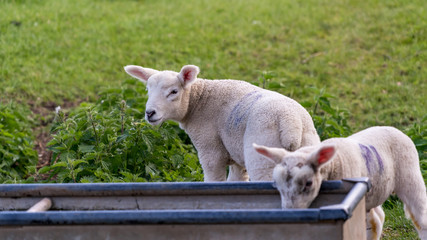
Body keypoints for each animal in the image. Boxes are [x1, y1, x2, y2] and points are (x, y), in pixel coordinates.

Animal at [123, 64, 320, 181]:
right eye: (148, 90)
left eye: (173, 92)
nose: (150, 113)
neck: (198, 101)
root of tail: (290, 123)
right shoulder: (236, 156)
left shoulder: (210, 150)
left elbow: (213, 179)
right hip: (309, 147)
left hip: (263, 155)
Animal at [254, 126, 427, 239]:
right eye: (276, 185)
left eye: (308, 183)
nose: (290, 213)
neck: (333, 164)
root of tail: (391, 128)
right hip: (372, 192)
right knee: (377, 219)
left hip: (410, 174)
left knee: (421, 217)